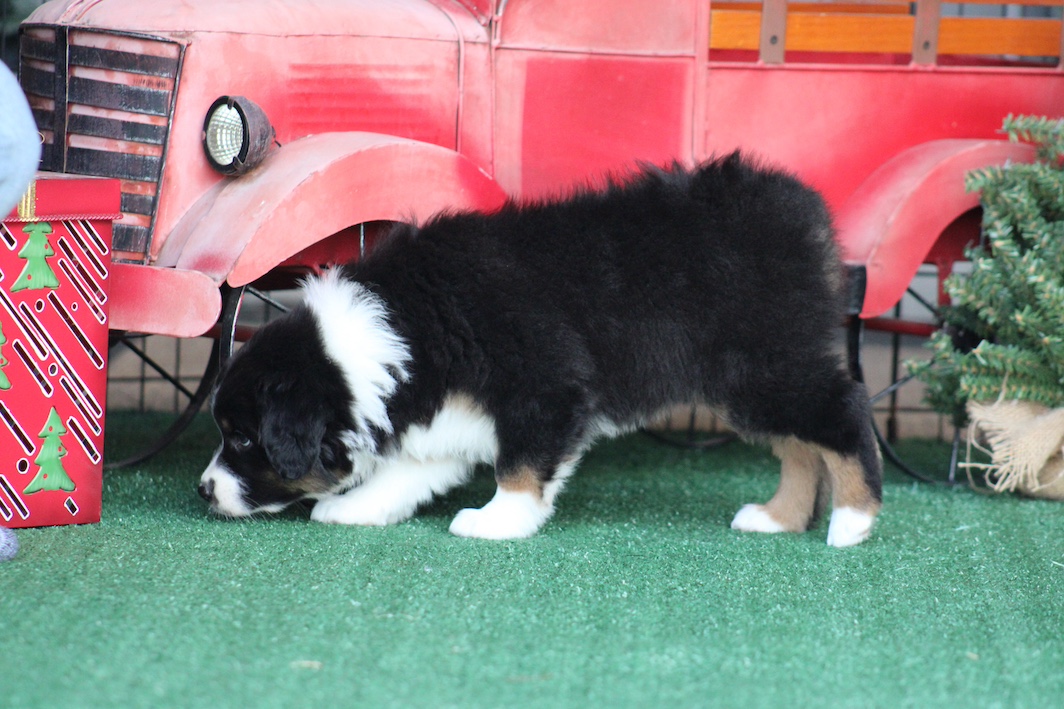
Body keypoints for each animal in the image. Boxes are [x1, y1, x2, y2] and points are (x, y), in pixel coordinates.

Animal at [198, 153, 883, 547]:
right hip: (748, 379)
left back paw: (854, 523)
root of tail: (806, 210)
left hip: (763, 365)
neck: (402, 328)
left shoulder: (545, 389)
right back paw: (779, 518)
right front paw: (355, 508)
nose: (204, 491)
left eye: (245, 439)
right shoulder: (449, 411)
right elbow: (409, 472)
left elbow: (520, 465)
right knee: (801, 444)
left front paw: (498, 523)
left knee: (843, 412)